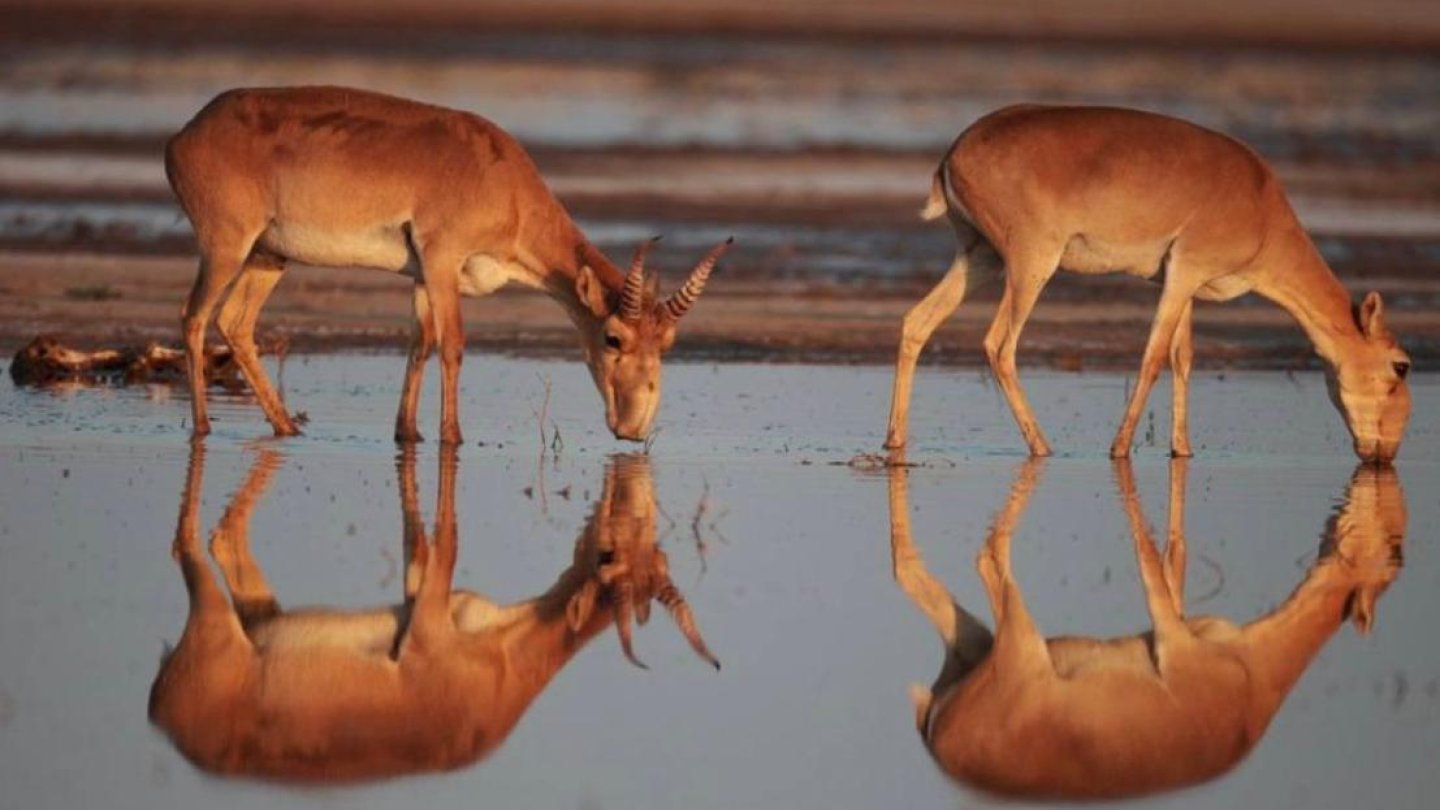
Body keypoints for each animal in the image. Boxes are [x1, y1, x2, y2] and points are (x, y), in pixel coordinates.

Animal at [146, 443, 720, 778]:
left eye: (658, 558)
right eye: (606, 558)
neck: (502, 673)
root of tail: (160, 714)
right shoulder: (426, 623)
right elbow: (445, 539)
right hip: (211, 611)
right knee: (190, 543)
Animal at [167, 86, 731, 441]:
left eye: (667, 342)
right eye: (613, 337)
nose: (635, 427)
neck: (503, 180)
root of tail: (183, 136)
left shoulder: (423, 278)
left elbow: (422, 343)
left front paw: (409, 433)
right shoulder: (441, 260)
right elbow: (455, 345)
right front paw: (452, 437)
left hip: (269, 255)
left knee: (234, 323)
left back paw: (287, 426)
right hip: (224, 246)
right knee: (194, 318)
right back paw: (202, 428)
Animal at [881, 104, 1411, 464]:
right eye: (1401, 365)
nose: (1385, 453)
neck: (1263, 210)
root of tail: (953, 153)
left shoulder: (1182, 282)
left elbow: (1183, 358)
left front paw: (1182, 449)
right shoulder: (1187, 271)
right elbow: (1153, 357)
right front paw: (1120, 448)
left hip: (980, 256)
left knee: (916, 321)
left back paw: (895, 440)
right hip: (1031, 262)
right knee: (998, 345)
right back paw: (1043, 445)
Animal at [887, 458, 1405, 795]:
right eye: (1388, 566)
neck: (1252, 680)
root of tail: (936, 740)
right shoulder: (1174, 640)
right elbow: (1151, 559)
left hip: (973, 642)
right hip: (1019, 643)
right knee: (987, 557)